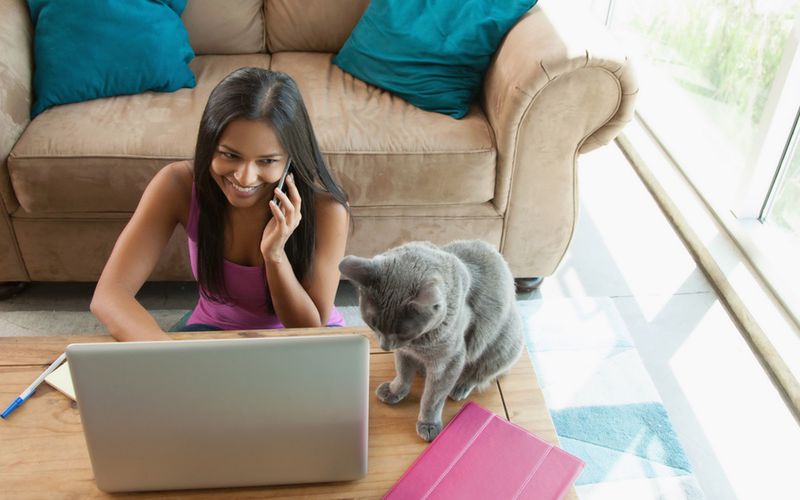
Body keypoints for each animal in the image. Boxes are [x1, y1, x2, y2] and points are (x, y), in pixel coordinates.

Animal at [340, 240, 520, 440]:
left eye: (403, 332)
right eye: (373, 324)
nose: (385, 346)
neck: (417, 345)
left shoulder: (448, 361)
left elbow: (432, 398)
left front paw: (428, 424)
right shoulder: (404, 352)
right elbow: (402, 374)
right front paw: (394, 391)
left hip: (501, 347)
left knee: (481, 373)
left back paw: (460, 387)